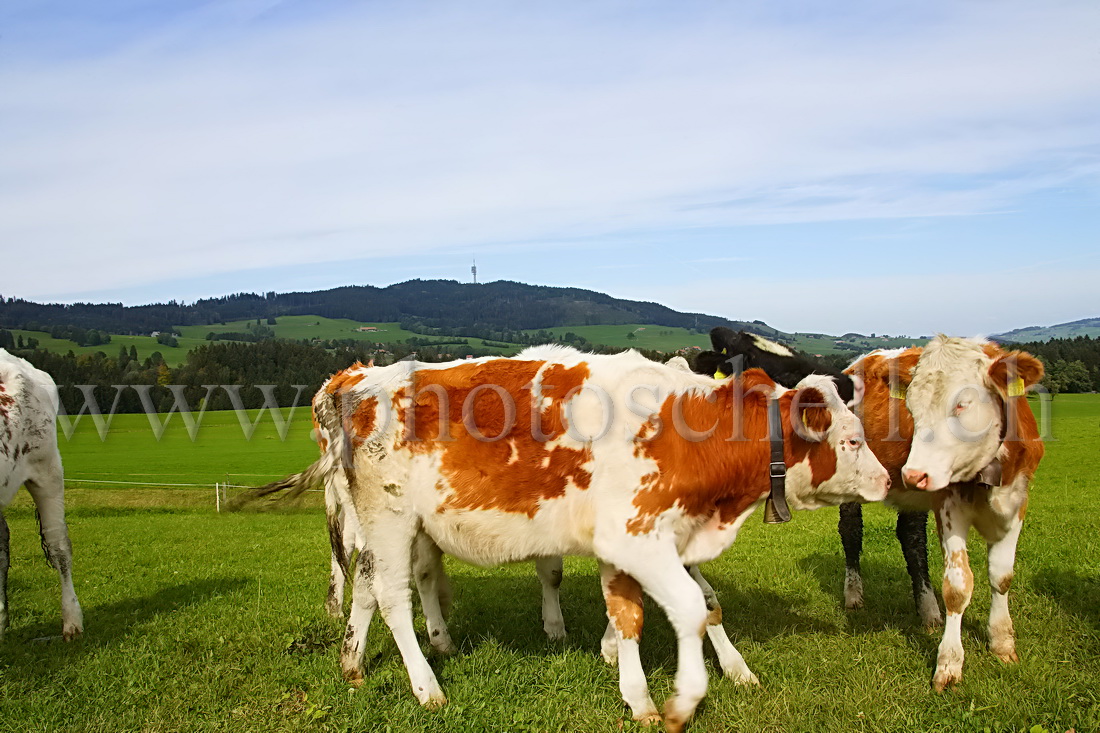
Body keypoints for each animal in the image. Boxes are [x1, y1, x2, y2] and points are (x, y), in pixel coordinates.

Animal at [314, 345, 888, 726]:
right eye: (852, 440)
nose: (886, 480)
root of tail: (358, 382)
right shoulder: (639, 538)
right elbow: (687, 606)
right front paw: (674, 698)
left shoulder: (627, 540)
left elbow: (632, 611)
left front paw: (632, 685)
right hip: (390, 518)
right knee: (392, 596)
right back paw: (426, 687)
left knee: (374, 587)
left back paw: (356, 665)